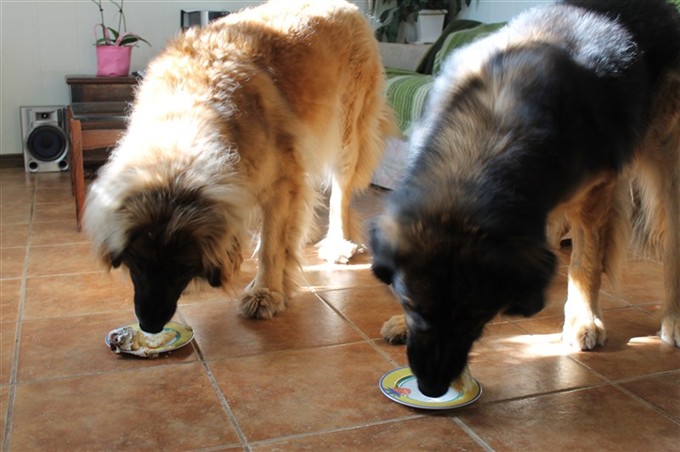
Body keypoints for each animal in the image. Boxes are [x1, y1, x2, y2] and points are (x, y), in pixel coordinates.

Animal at [85, 0, 396, 332]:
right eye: (139, 262)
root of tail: (349, 7)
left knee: (340, 193)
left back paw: (337, 243)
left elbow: (272, 246)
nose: (150, 324)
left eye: (182, 267)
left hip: (347, 133)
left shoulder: (279, 181)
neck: (190, 110)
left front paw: (266, 292)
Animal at [372, 0, 680, 396]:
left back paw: (673, 318)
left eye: (474, 317)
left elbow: (584, 260)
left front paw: (583, 318)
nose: (431, 388)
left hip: (668, 169)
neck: (488, 140)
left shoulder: (594, 191)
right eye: (411, 305)